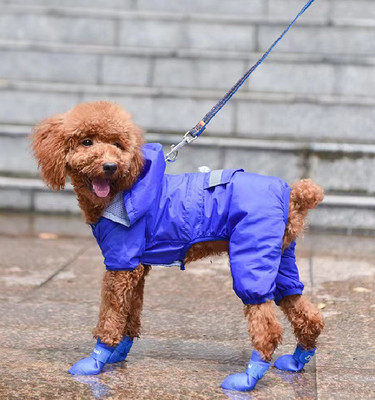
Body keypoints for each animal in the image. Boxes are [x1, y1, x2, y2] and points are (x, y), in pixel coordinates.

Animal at [33, 100, 326, 390]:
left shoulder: (121, 263)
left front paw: (97, 360)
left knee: (267, 326)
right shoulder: (137, 267)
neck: (122, 189)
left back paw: (248, 378)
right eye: (86, 142)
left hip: (251, 255)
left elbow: (111, 314)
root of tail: (292, 195)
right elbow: (131, 313)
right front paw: (118, 353)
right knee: (305, 311)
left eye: (117, 144)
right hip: (280, 259)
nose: (110, 166)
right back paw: (296, 361)